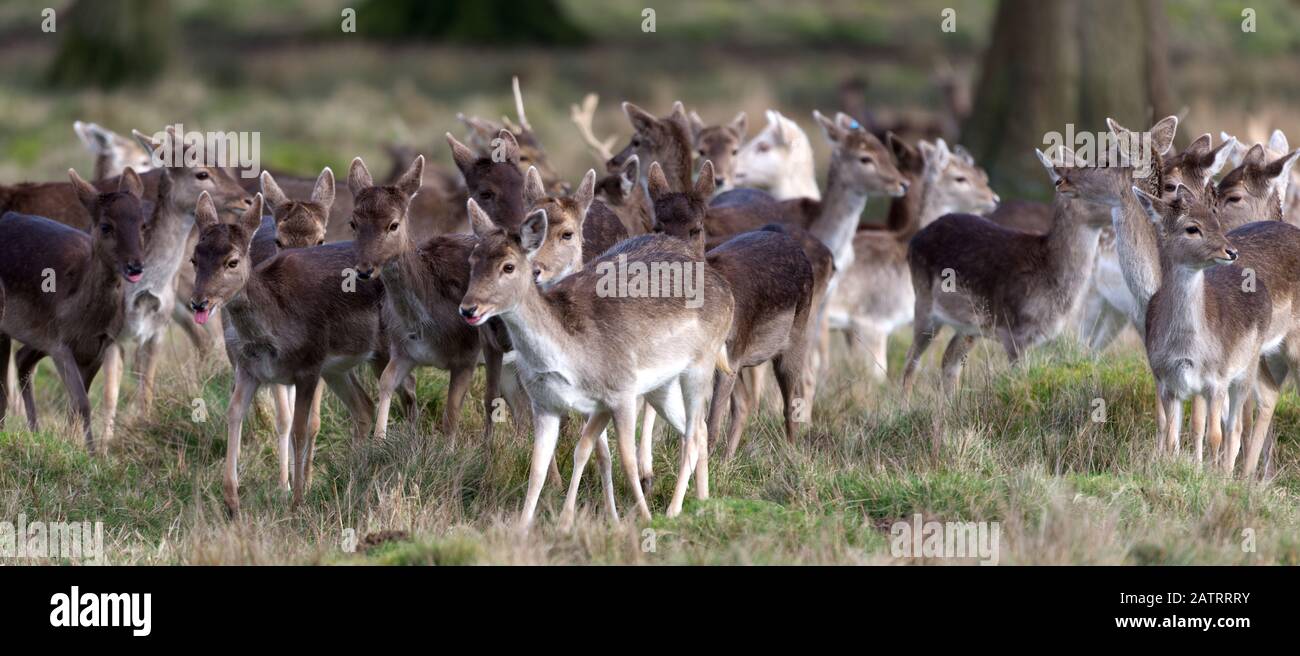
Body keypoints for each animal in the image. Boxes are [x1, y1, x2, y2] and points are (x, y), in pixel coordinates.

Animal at [0, 168, 148, 451]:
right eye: (106, 226)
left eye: (143, 224)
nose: (135, 266)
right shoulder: (60, 343)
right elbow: (82, 402)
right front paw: (90, 453)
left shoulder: (100, 345)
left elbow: (79, 401)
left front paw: (74, 445)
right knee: (5, 380)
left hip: (37, 333)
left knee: (22, 359)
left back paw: (35, 431)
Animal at [460, 200, 735, 528]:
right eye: (473, 261)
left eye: (508, 266)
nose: (468, 308)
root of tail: (728, 290)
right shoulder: (546, 404)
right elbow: (541, 467)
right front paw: (525, 527)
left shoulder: (622, 391)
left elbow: (625, 460)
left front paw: (643, 518)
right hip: (662, 386)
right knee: (698, 429)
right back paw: (703, 502)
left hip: (701, 363)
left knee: (693, 434)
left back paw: (673, 510)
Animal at [648, 159, 828, 459]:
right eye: (657, 227)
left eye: (696, 228)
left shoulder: (730, 356)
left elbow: (711, 422)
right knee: (743, 403)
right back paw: (728, 459)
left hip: (797, 332)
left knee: (791, 400)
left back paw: (791, 454)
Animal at [901, 147, 1113, 396]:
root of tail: (916, 238)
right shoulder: (1014, 333)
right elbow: (1022, 380)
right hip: (924, 303)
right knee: (911, 360)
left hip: (971, 325)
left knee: (949, 360)